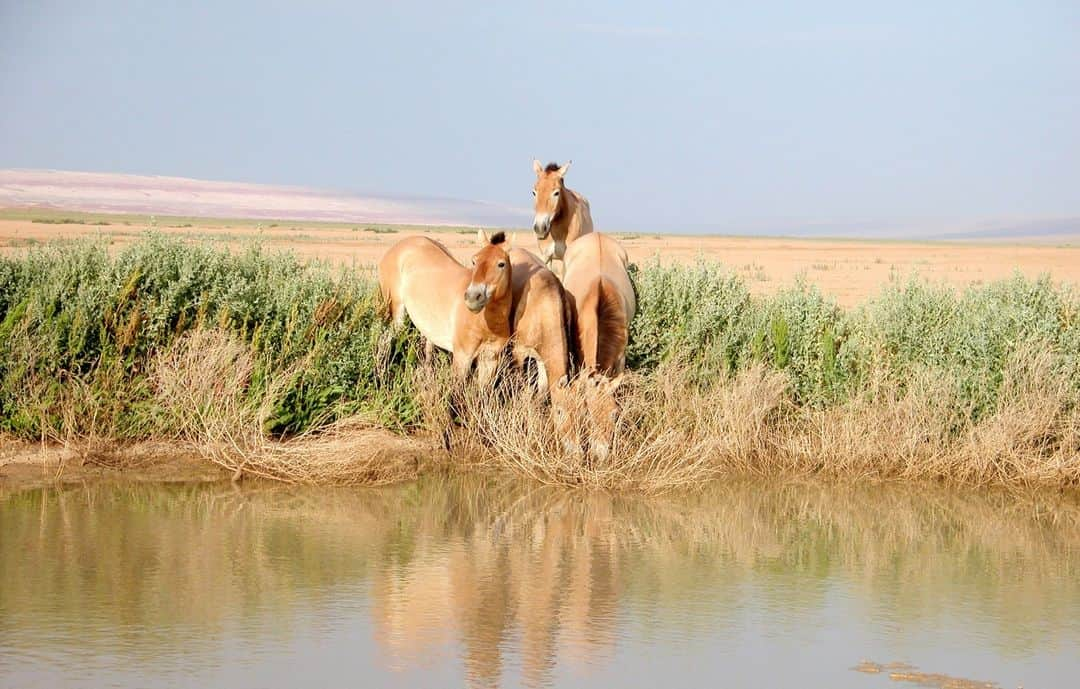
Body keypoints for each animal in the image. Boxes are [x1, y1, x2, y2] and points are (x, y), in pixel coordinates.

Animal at [380, 231, 514, 384]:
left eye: (501, 264)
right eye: (474, 261)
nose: (472, 297)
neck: (486, 323)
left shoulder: (490, 359)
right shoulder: (462, 357)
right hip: (396, 312)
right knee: (388, 338)